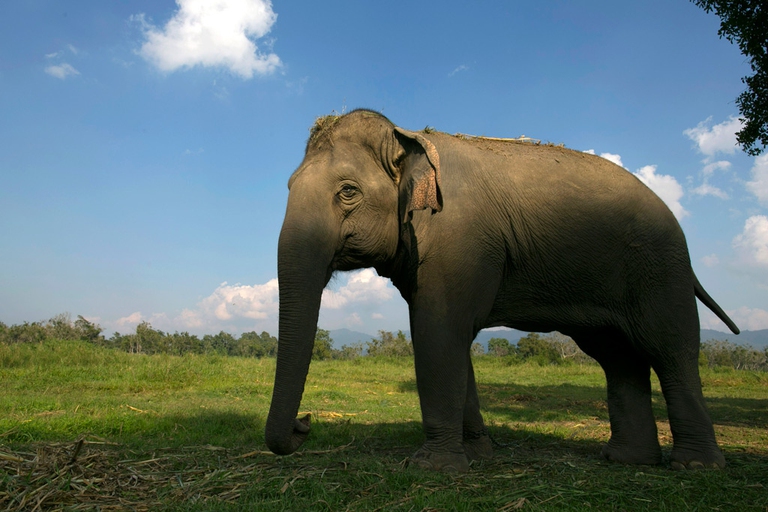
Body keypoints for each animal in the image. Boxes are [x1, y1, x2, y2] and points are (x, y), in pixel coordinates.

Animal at [265, 109, 739, 472]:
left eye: (348, 192)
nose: (306, 423)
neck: (408, 135)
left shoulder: (456, 237)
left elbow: (437, 332)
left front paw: (434, 467)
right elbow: (452, 339)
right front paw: (478, 455)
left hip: (659, 267)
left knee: (670, 348)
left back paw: (695, 465)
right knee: (618, 357)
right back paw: (628, 461)